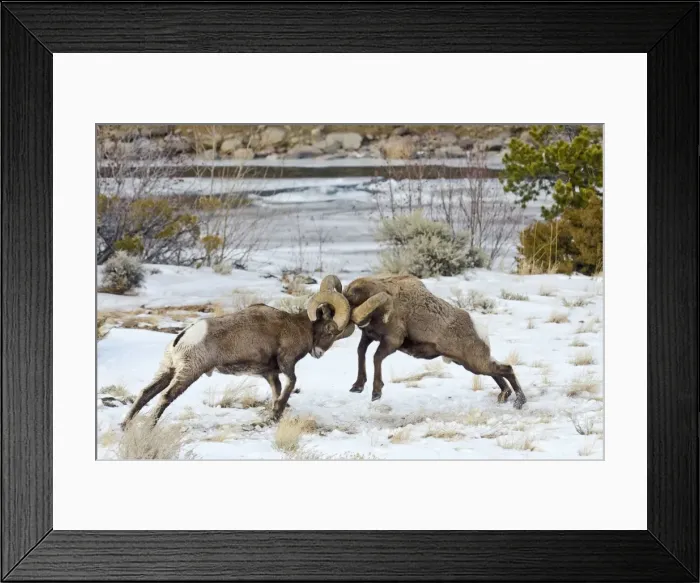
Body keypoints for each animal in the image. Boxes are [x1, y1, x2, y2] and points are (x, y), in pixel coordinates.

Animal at [121, 293, 354, 428]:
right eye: (330, 329)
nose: (319, 352)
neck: (297, 326)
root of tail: (184, 336)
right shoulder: (287, 364)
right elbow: (290, 386)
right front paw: (275, 414)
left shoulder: (271, 374)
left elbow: (277, 392)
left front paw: (274, 416)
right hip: (189, 372)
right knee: (166, 396)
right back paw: (149, 427)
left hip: (169, 369)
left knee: (146, 393)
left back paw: (124, 426)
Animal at [307, 274, 526, 408]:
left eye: (331, 330)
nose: (316, 352)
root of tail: (478, 328)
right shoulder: (369, 336)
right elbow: (361, 352)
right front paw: (357, 386)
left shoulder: (392, 342)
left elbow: (376, 358)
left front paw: (376, 393)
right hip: (469, 364)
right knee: (497, 372)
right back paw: (504, 396)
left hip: (474, 363)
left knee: (506, 369)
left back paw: (519, 402)